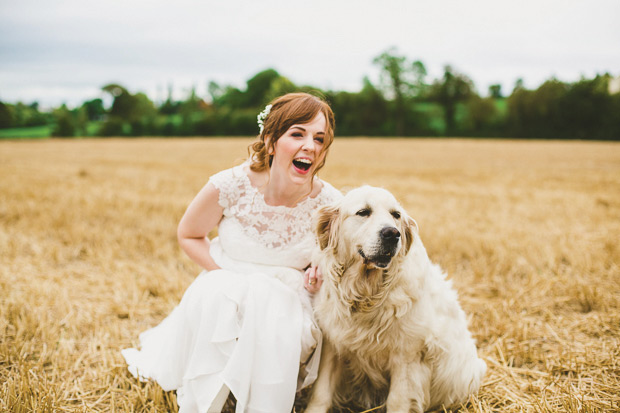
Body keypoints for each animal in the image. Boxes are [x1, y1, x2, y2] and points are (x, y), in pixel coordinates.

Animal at [306, 187, 484, 412]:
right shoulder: (333, 344)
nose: (392, 233)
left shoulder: (408, 355)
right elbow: (321, 393)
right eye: (363, 212)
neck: (367, 293)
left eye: (396, 215)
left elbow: (398, 400)